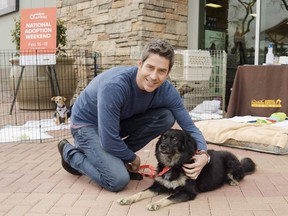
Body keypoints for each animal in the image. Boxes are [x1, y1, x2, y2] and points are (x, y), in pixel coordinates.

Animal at [118, 128, 255, 211]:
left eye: (174, 139)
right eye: (163, 138)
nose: (162, 146)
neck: (173, 165)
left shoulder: (188, 192)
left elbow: (169, 198)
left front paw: (155, 203)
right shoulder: (158, 186)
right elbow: (141, 193)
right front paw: (128, 199)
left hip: (231, 163)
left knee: (239, 176)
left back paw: (232, 181)